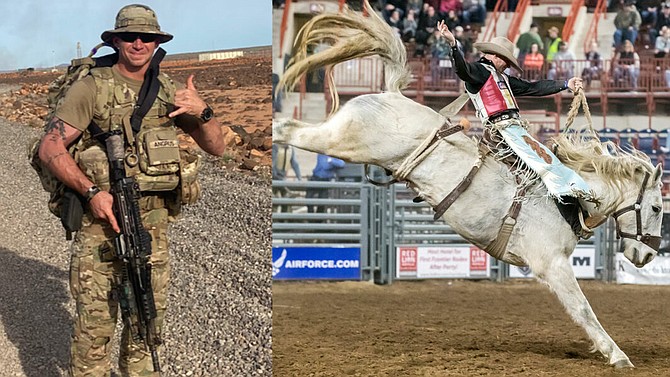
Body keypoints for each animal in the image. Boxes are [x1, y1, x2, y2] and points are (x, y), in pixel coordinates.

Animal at [274, 1, 668, 368]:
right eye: (656, 207)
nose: (649, 254)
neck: (567, 200)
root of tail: (391, 94)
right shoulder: (550, 263)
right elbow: (584, 310)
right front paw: (617, 355)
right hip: (342, 140)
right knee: (289, 130)